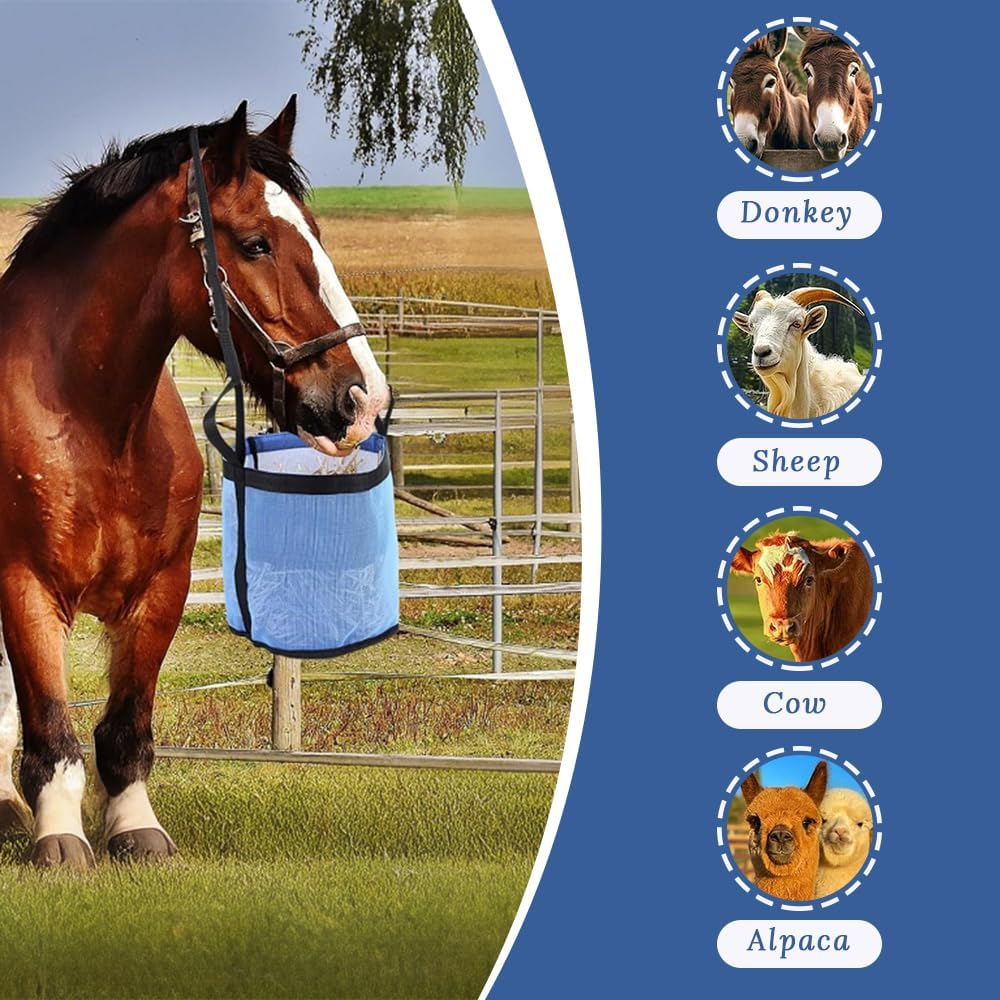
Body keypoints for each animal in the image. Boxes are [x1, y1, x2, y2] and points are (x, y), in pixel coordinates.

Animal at [0, 97, 389, 867]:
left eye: (317, 233)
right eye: (256, 244)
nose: (363, 399)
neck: (97, 430)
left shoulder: (161, 591)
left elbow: (126, 728)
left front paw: (135, 831)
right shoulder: (25, 586)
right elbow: (51, 725)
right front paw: (59, 840)